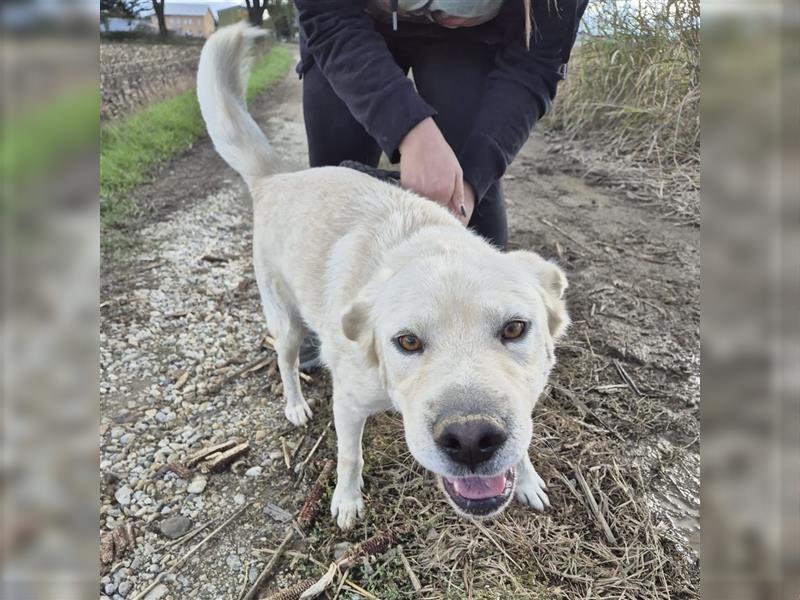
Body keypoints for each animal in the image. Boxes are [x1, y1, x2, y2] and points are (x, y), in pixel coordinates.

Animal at [196, 24, 564, 528]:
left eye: (514, 329)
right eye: (406, 342)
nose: (471, 440)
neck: (424, 240)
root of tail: (277, 180)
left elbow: (522, 442)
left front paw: (526, 479)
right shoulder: (349, 403)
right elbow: (349, 456)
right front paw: (347, 500)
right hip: (286, 320)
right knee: (285, 360)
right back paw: (295, 403)